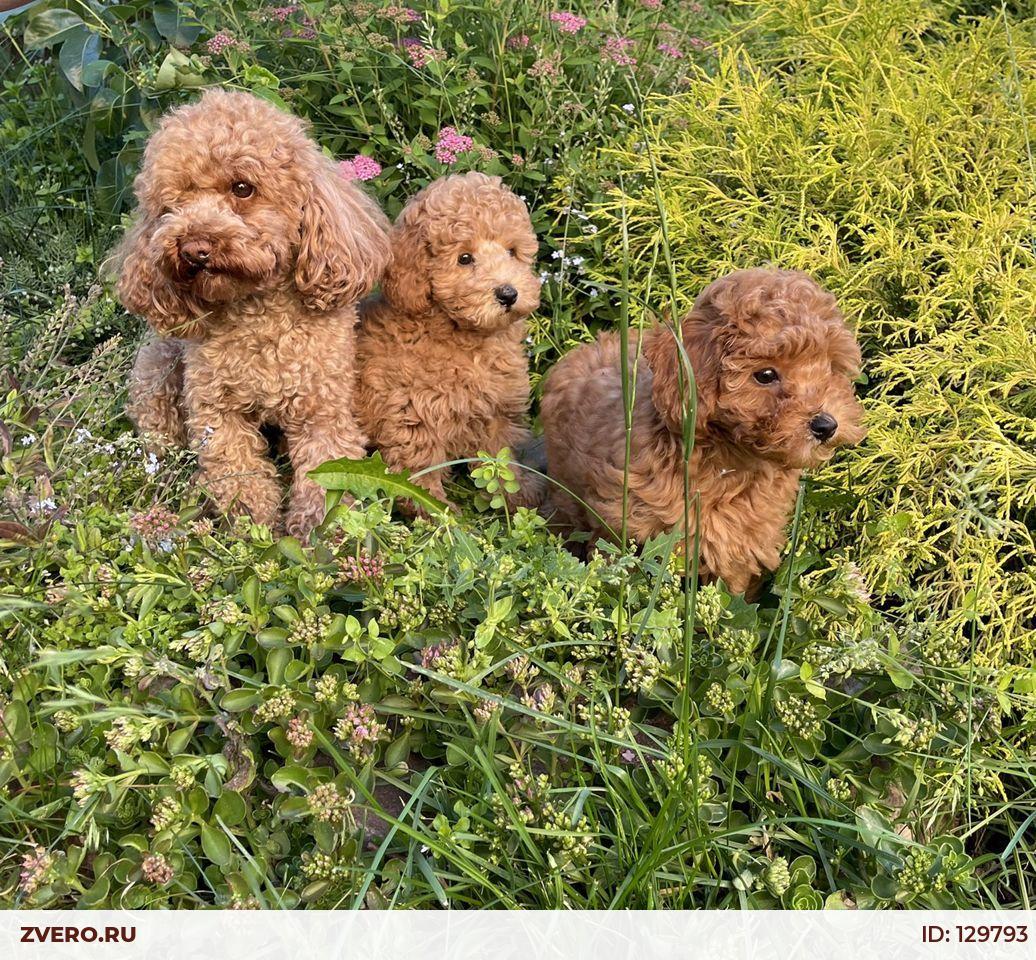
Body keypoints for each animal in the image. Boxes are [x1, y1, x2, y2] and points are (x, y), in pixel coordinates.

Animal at [114, 86, 389, 538]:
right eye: (172, 204)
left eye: (243, 188)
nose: (193, 249)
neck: (258, 318)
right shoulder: (216, 410)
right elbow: (237, 471)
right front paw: (255, 527)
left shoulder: (322, 406)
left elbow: (325, 470)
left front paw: (317, 530)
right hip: (156, 373)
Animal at [356, 176, 547, 513]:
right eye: (464, 258)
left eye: (511, 251)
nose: (508, 294)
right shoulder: (412, 412)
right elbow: (419, 466)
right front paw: (435, 510)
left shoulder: (497, 412)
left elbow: (501, 458)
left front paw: (514, 497)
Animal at [542, 269, 866, 592]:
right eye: (765, 375)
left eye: (830, 367)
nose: (826, 424)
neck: (728, 461)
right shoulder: (624, 531)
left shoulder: (740, 552)